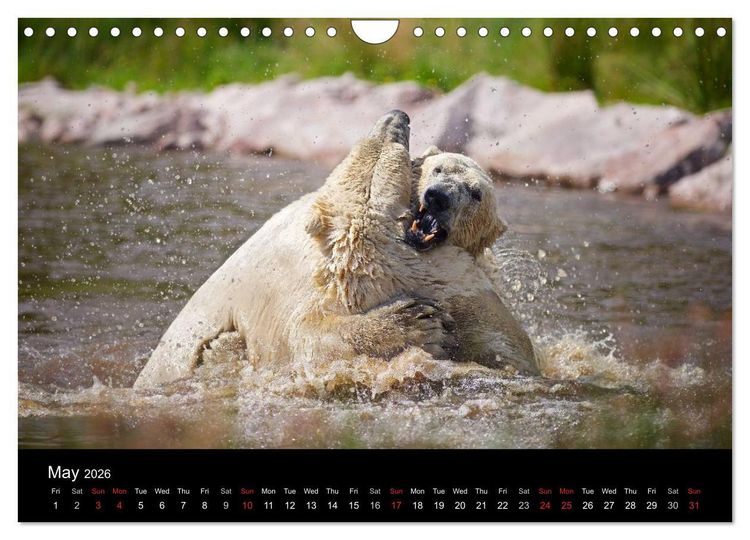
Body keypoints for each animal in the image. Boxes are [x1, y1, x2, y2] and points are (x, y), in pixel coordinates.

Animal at [134, 110, 537, 389]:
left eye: (476, 193)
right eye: (436, 169)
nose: (399, 115)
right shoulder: (297, 289)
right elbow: (308, 340)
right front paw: (416, 321)